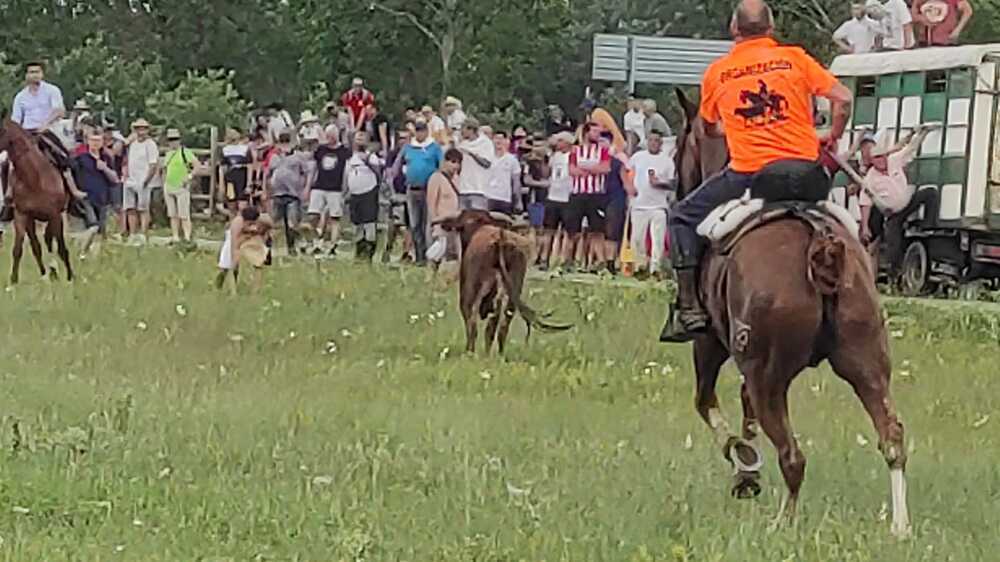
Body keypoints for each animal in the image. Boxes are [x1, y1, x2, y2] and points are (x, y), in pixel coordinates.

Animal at [0, 114, 73, 282]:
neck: (34, 177)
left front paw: (70, 277)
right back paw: (46, 273)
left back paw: (54, 272)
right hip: (31, 220)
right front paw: (13, 281)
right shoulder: (21, 215)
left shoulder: (55, 215)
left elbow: (61, 247)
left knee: (49, 241)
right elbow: (18, 249)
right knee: (38, 245)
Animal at [668, 89, 912, 536]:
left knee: (793, 456)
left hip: (768, 375)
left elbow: (707, 403)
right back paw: (900, 527)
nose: (677, 188)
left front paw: (744, 466)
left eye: (680, 145)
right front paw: (747, 466)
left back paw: (783, 523)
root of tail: (820, 244)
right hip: (867, 362)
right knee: (892, 437)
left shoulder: (709, 344)